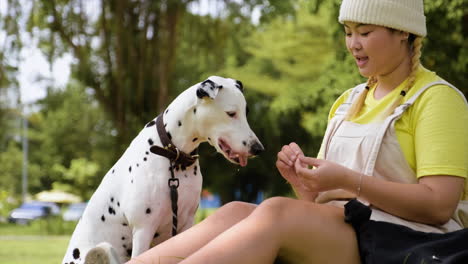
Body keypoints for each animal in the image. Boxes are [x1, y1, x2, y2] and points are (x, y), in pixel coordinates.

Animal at [63, 76, 264, 264]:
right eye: (231, 113)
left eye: (246, 112)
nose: (258, 148)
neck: (172, 154)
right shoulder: (143, 230)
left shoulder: (187, 223)